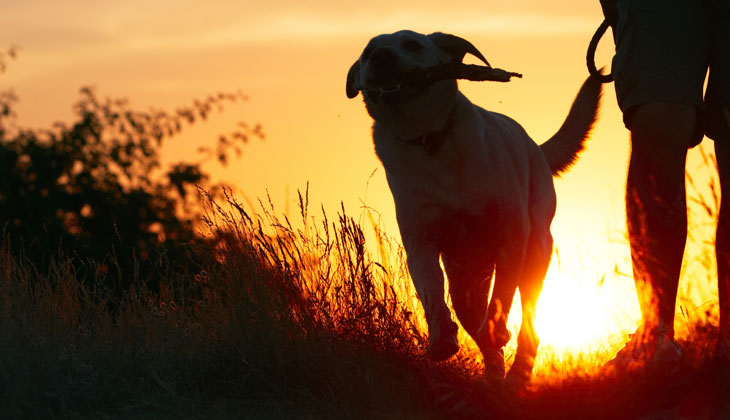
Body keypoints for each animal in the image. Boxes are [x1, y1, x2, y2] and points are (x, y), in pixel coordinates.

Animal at [344, 28, 600, 384]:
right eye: (367, 53)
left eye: (412, 44)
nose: (380, 56)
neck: (431, 140)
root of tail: (535, 146)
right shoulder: (420, 239)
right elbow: (430, 288)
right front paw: (441, 339)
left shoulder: (511, 235)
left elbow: (503, 294)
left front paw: (495, 327)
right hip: (465, 280)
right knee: (476, 322)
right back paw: (495, 377)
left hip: (537, 250)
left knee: (528, 318)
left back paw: (517, 370)